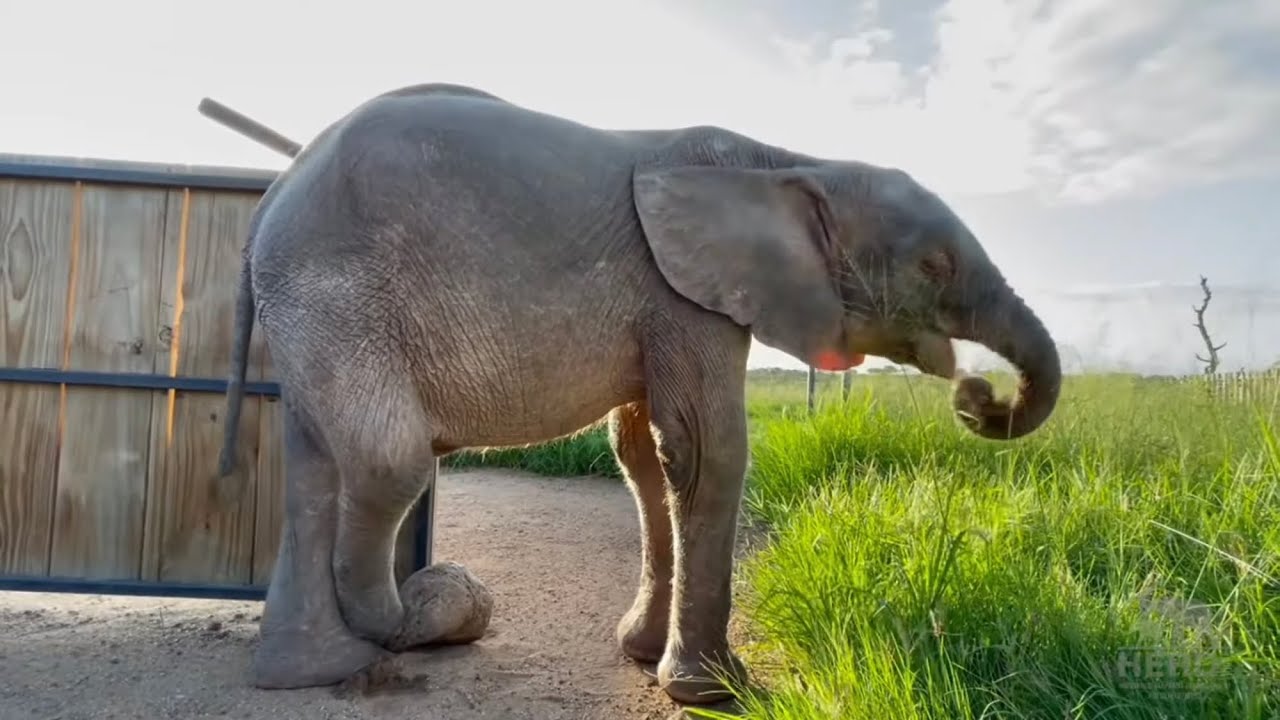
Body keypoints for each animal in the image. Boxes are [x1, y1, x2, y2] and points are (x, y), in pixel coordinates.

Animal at [217, 81, 1061, 706]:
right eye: (936, 266)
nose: (979, 394)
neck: (790, 163)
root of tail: (271, 197)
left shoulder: (667, 299)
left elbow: (646, 455)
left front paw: (644, 654)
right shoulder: (684, 294)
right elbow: (705, 450)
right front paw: (714, 692)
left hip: (312, 307)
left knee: (312, 469)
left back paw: (315, 672)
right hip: (338, 295)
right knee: (389, 462)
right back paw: (415, 619)